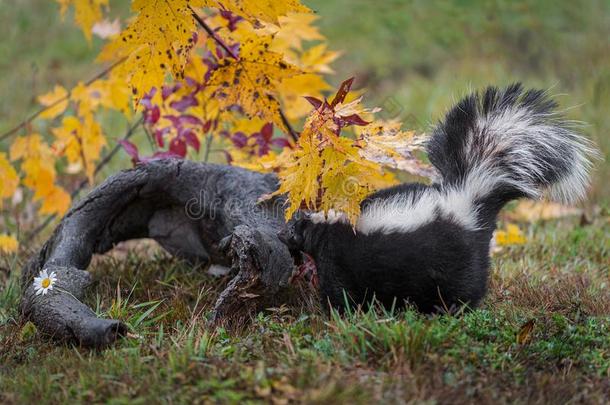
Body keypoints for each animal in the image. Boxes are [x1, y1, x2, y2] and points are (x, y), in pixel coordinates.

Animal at [278, 84, 596, 312]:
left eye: (293, 229)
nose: (281, 234)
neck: (328, 225)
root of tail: (468, 195)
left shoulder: (339, 257)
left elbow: (340, 291)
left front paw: (336, 314)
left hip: (454, 255)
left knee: (465, 285)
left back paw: (454, 310)